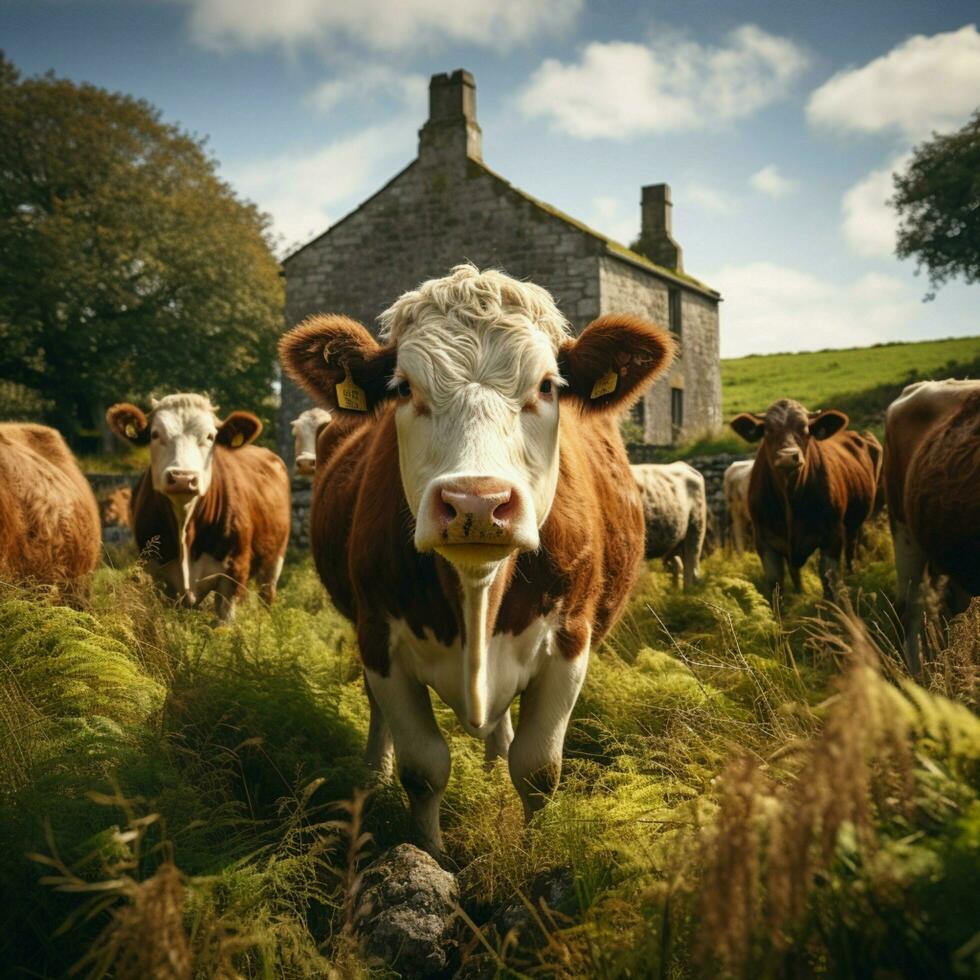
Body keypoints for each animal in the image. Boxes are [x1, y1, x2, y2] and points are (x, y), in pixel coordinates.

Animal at [108, 392, 290, 616]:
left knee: (267, 593)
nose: (183, 478)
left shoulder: (234, 574)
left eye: (210, 436)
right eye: (155, 434)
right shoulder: (154, 573)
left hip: (275, 559)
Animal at [276, 266, 672, 856]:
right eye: (403, 388)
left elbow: (537, 769)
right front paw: (430, 852)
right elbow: (423, 768)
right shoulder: (379, 638)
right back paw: (374, 772)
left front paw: (532, 853)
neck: (475, 592)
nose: (476, 502)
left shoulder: (570, 641)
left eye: (547, 386)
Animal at [728, 398, 880, 604]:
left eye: (805, 429)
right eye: (768, 430)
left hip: (854, 524)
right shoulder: (764, 540)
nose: (787, 456)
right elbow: (776, 585)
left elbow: (829, 582)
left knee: (851, 553)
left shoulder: (833, 536)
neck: (789, 499)